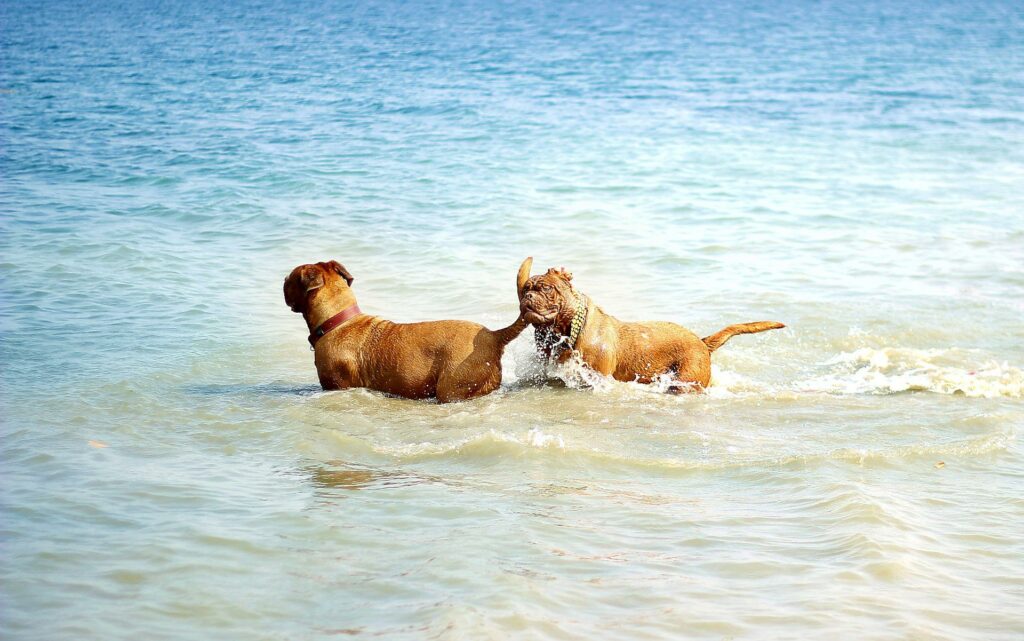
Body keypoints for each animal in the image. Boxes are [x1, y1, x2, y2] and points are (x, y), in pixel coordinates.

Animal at [286, 258, 528, 399]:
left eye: (290, 278)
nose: (283, 278)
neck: (337, 321)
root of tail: (494, 336)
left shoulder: (337, 386)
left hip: (450, 388)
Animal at [516, 255, 786, 389]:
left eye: (546, 288)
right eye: (527, 288)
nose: (527, 296)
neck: (567, 328)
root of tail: (702, 342)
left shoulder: (596, 378)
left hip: (685, 380)